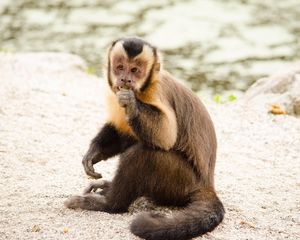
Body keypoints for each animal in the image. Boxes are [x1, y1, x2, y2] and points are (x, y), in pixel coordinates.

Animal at [65, 36, 225, 239]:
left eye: (135, 70)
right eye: (120, 67)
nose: (125, 79)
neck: (142, 90)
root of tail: (207, 185)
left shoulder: (157, 92)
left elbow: (165, 137)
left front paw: (132, 104)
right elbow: (123, 133)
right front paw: (94, 152)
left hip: (181, 184)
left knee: (143, 154)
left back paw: (110, 204)